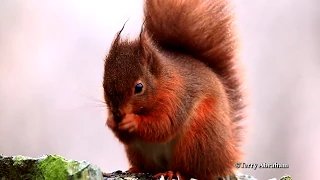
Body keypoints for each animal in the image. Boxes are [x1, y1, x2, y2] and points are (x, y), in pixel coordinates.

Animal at [102, 0, 245, 179]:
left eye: (139, 87)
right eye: (103, 85)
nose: (118, 113)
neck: (162, 83)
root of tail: (225, 158)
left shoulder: (177, 97)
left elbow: (163, 125)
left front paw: (132, 121)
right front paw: (111, 121)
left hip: (197, 141)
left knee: (190, 170)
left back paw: (173, 171)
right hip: (140, 153)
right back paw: (136, 169)